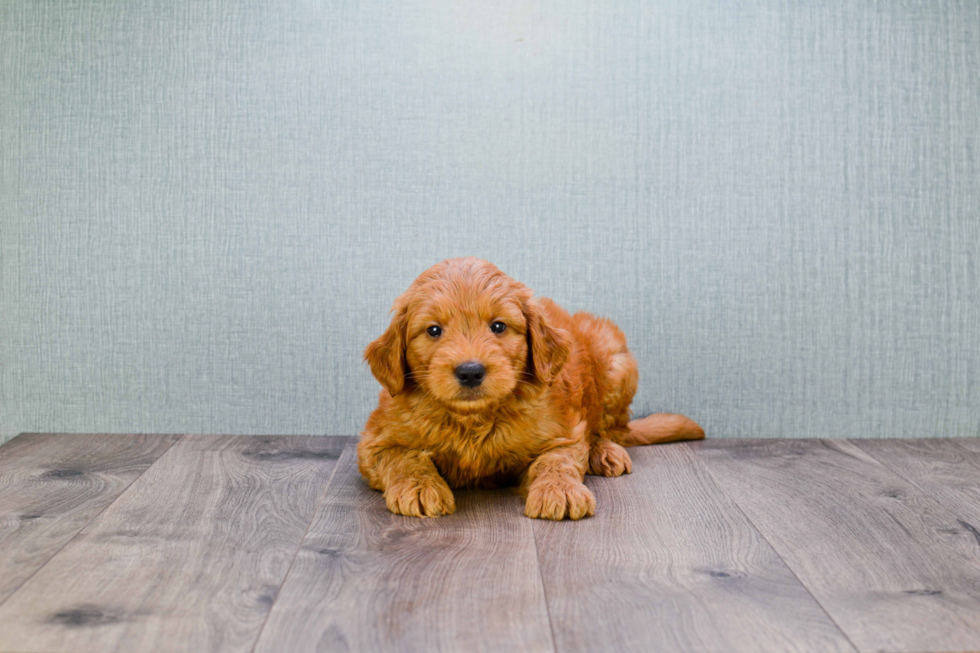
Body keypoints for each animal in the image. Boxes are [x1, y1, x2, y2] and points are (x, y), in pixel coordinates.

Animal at [360, 258, 704, 520]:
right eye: (433, 330)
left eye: (498, 326)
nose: (470, 371)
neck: (474, 419)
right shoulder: (375, 441)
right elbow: (404, 459)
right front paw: (419, 486)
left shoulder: (563, 432)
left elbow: (556, 460)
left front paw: (560, 490)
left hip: (615, 359)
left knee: (613, 429)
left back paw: (605, 452)